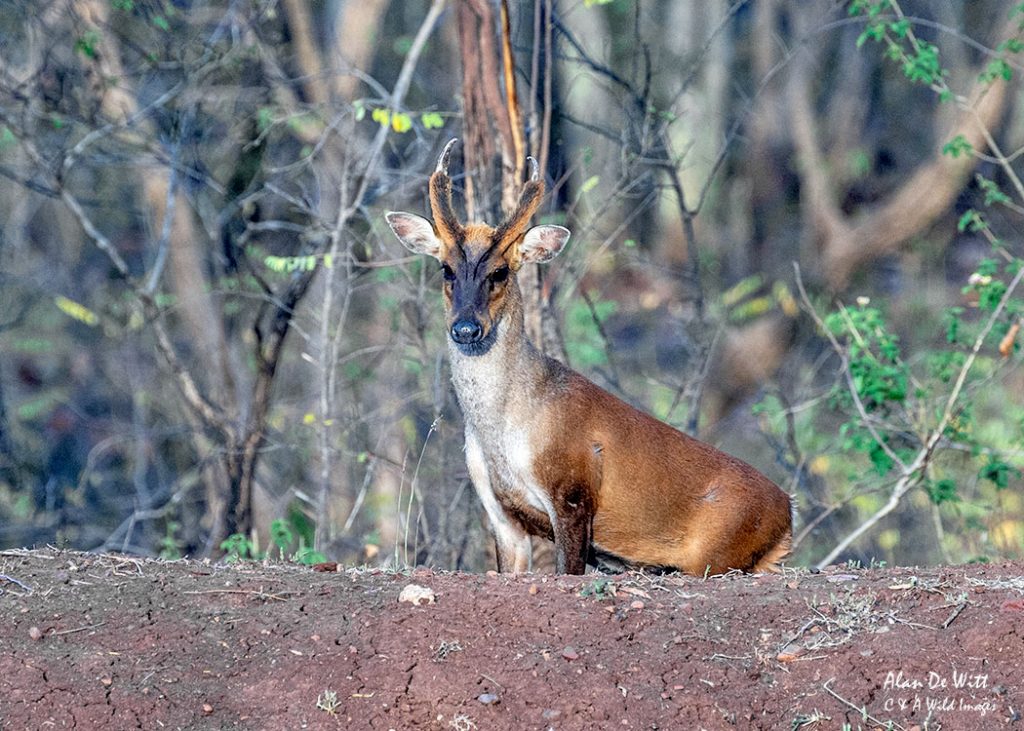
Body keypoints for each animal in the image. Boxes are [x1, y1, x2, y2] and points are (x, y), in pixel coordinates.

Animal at [385, 139, 792, 576]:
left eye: (499, 272)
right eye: (446, 270)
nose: (465, 328)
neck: (505, 432)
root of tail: (788, 512)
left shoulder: (572, 490)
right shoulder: (499, 511)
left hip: (716, 548)